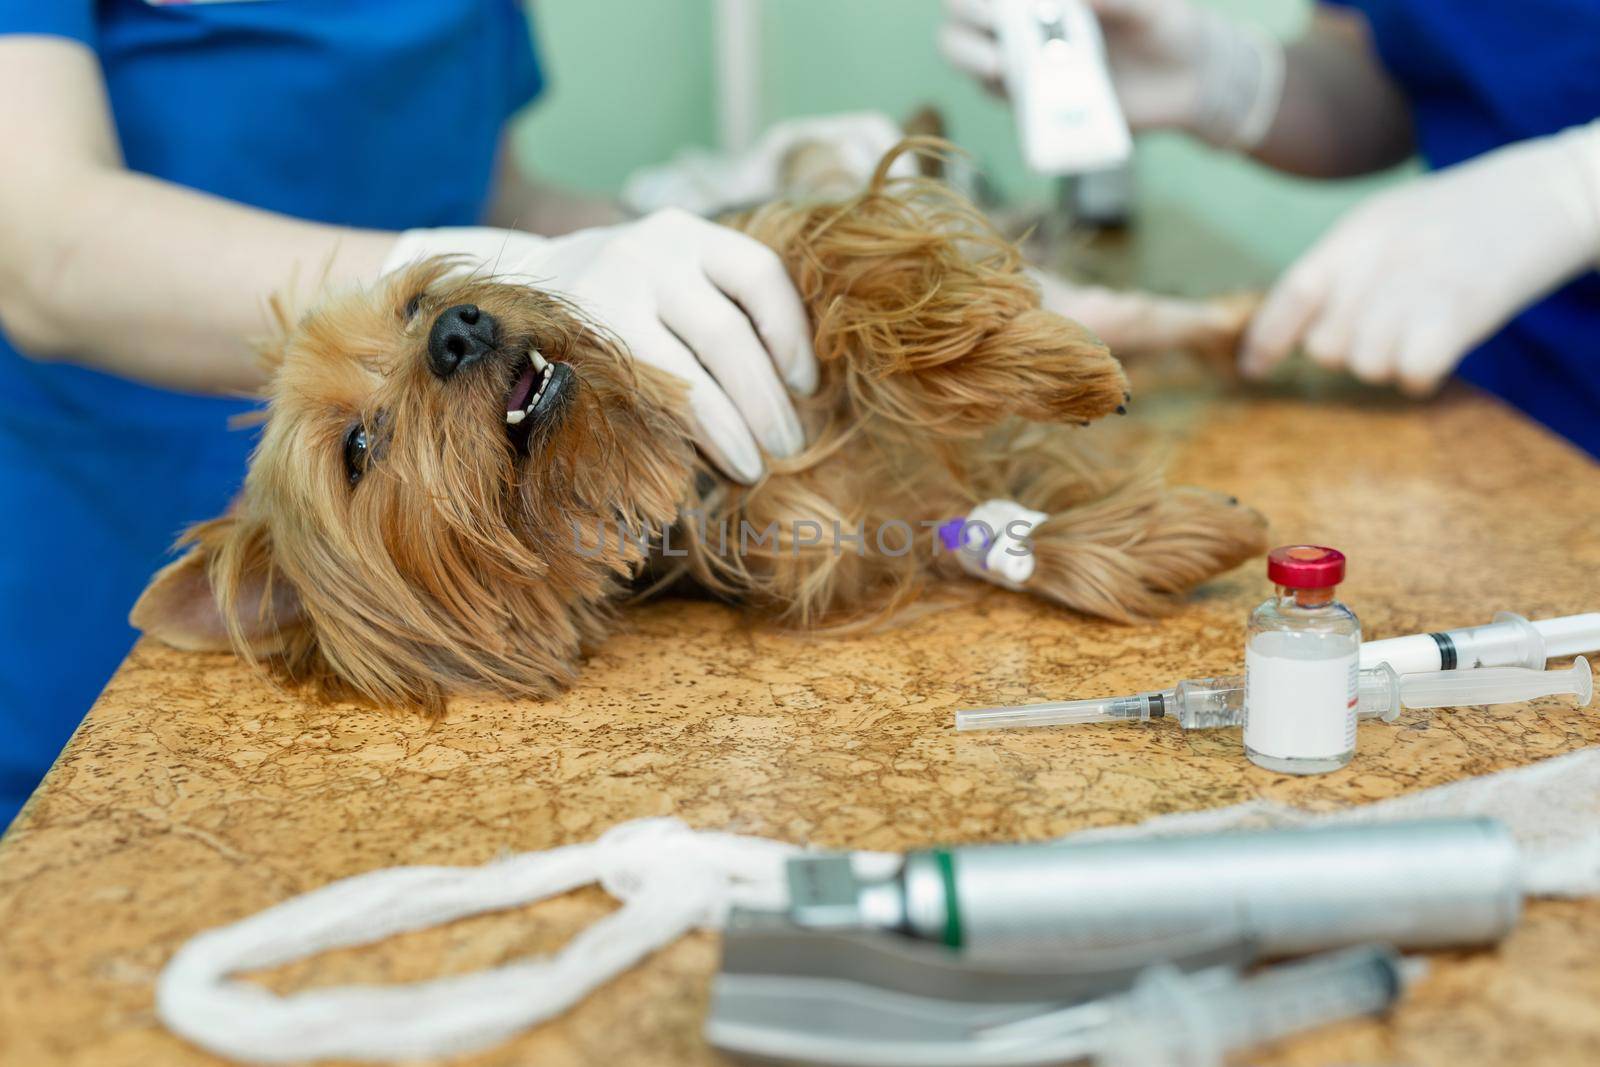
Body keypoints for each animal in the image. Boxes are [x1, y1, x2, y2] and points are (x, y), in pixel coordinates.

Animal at [131, 141, 1267, 710]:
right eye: (358, 450)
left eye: (412, 305)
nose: (458, 328)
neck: (666, 477)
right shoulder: (849, 543)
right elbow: (973, 531)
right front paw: (1178, 535)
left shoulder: (770, 268)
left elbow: (852, 276)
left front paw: (1041, 364)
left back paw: (1226, 327)